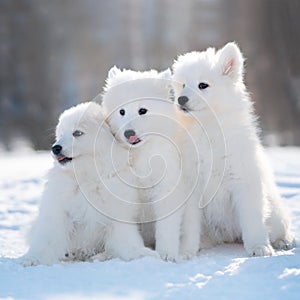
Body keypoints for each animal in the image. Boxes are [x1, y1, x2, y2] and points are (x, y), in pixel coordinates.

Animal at [21, 102, 157, 266]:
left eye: (77, 133)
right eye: (60, 135)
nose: (55, 148)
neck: (87, 178)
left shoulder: (117, 217)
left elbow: (127, 242)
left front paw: (142, 254)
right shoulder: (58, 213)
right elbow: (47, 238)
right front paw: (32, 259)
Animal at [101, 67, 190, 260]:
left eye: (142, 110)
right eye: (122, 111)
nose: (129, 133)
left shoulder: (167, 184)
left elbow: (166, 224)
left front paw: (167, 254)